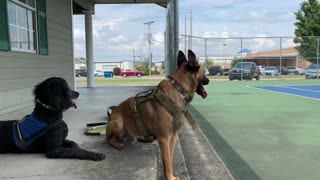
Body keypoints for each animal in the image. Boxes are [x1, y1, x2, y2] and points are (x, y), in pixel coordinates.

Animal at [106, 49, 209, 180]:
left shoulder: (172, 137)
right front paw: (170, 177)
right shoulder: (164, 138)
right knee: (108, 139)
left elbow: (169, 157)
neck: (179, 89)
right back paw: (117, 143)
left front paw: (169, 174)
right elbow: (167, 159)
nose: (208, 80)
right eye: (204, 72)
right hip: (118, 121)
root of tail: (112, 113)